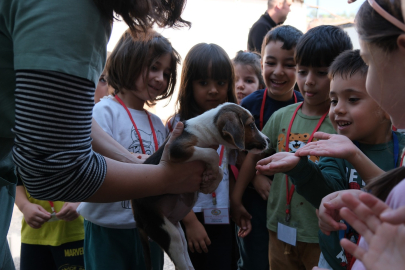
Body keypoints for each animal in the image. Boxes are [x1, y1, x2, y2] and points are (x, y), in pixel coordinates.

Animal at [130, 102, 268, 268]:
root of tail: (136, 216)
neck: (206, 129)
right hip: (164, 229)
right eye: (251, 125)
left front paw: (210, 182)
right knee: (180, 261)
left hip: (176, 229)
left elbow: (219, 170)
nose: (268, 140)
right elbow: (211, 153)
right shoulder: (177, 149)